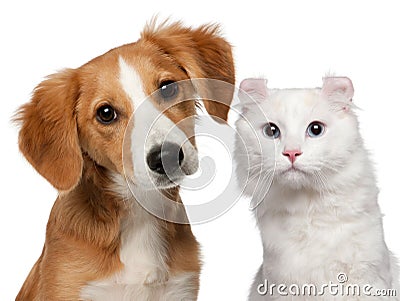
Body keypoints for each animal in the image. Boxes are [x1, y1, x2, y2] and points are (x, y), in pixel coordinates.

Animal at [236, 76, 398, 298]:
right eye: (271, 131)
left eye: (315, 130)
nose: (292, 153)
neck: (307, 205)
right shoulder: (280, 285)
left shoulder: (369, 280)